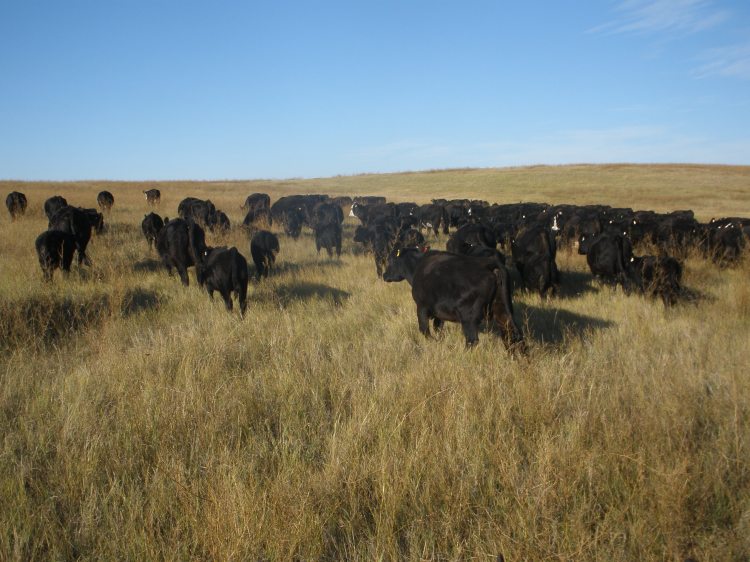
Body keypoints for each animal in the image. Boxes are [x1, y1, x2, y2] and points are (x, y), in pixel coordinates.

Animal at [383, 249, 524, 350]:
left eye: (390, 260)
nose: (384, 275)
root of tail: (489, 264)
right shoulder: (438, 314)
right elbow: (437, 328)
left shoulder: (422, 307)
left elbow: (424, 330)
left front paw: (434, 343)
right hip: (502, 309)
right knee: (512, 333)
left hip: (468, 317)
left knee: (472, 340)